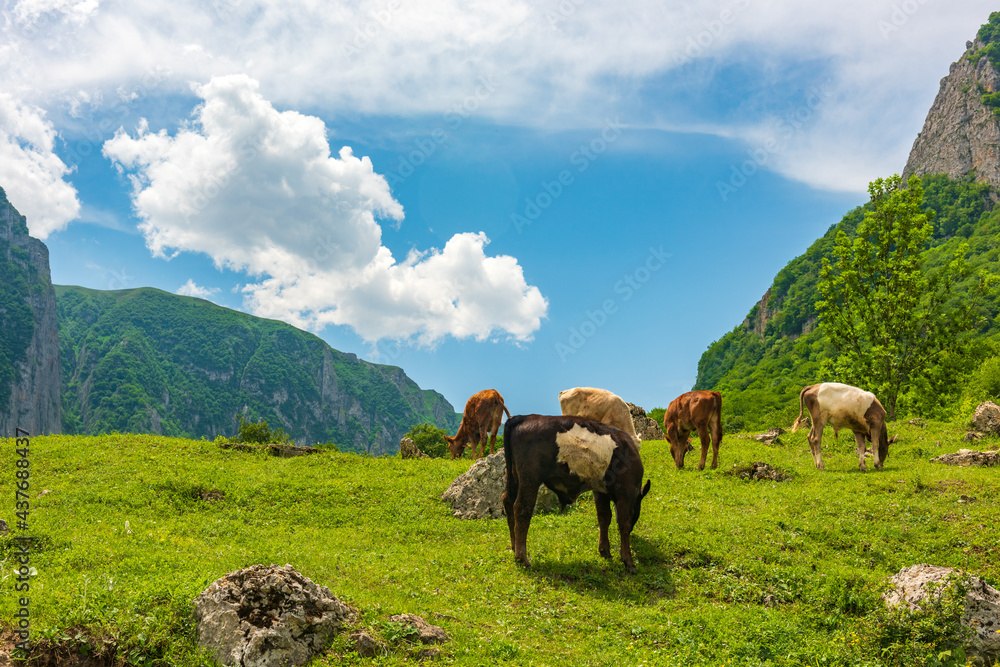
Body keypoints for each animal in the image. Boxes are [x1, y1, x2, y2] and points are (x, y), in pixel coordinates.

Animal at [501, 414, 651, 573]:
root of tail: (523, 417)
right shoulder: (626, 491)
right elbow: (624, 523)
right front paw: (628, 561)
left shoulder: (600, 491)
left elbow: (604, 518)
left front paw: (605, 551)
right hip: (530, 480)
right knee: (522, 509)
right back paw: (522, 559)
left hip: (514, 478)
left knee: (507, 501)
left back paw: (514, 547)